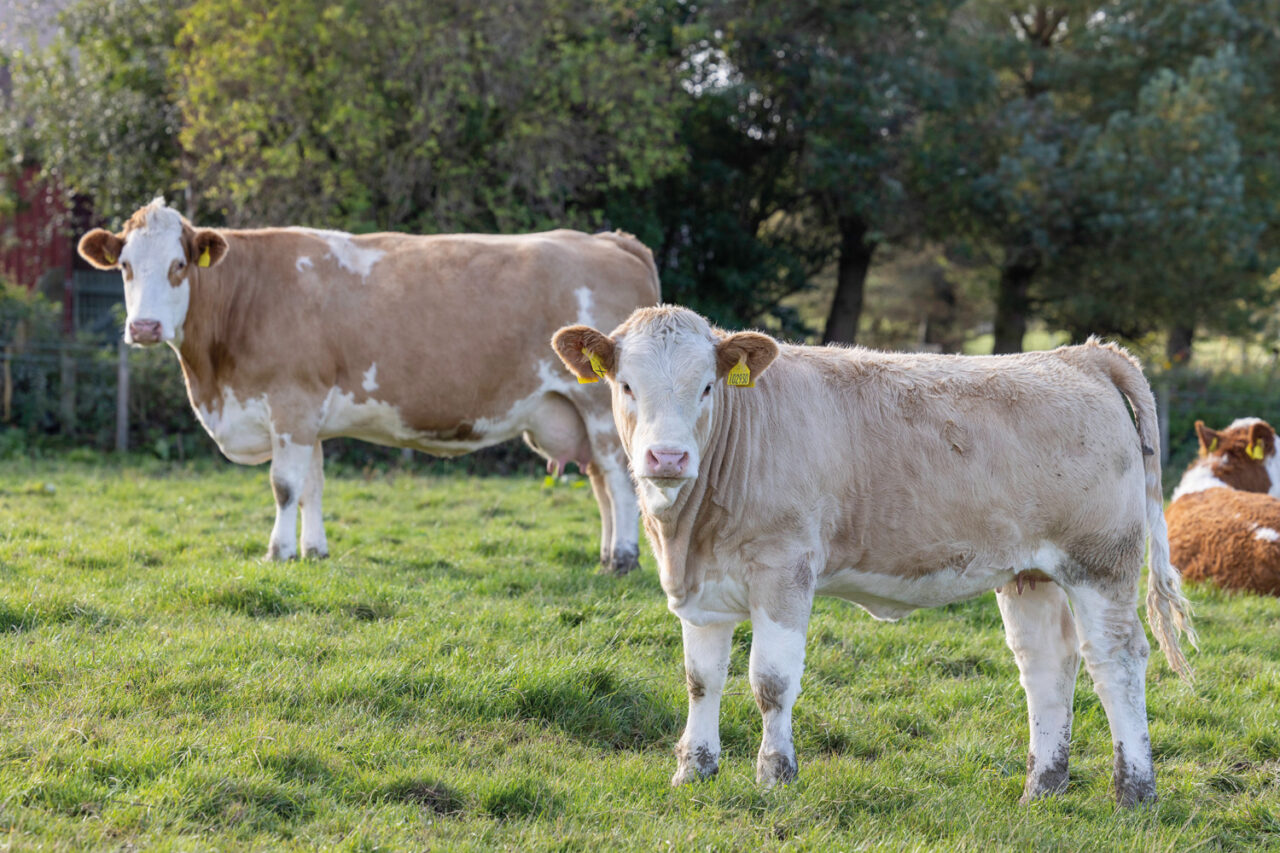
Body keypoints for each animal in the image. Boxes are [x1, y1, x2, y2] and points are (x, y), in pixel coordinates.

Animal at [78, 198, 658, 571]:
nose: (144, 327)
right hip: (577, 412)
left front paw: (277, 553)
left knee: (618, 479)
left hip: (598, 406)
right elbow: (312, 484)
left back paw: (623, 559)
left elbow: (284, 485)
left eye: (178, 265)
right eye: (125, 267)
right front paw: (314, 552)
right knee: (601, 483)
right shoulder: (307, 416)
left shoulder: (290, 403)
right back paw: (607, 553)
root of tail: (609, 241)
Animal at [552, 306, 1196, 805]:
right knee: (1046, 665)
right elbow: (701, 679)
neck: (690, 534)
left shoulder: (785, 571)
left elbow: (771, 681)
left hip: (1101, 563)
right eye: (627, 386)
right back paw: (1042, 787)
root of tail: (1079, 355)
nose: (667, 457)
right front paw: (694, 771)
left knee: (1116, 660)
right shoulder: (704, 590)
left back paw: (1134, 791)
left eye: (706, 387)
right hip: (1030, 572)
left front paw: (775, 776)